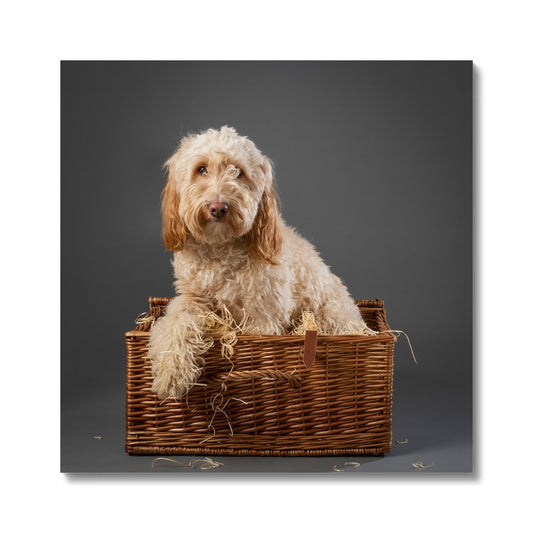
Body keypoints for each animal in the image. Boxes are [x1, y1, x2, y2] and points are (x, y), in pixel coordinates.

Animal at [149, 125, 366, 400]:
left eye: (238, 172)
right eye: (201, 169)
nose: (218, 207)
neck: (221, 249)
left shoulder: (265, 316)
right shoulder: (191, 299)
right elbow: (174, 324)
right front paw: (171, 373)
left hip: (329, 316)